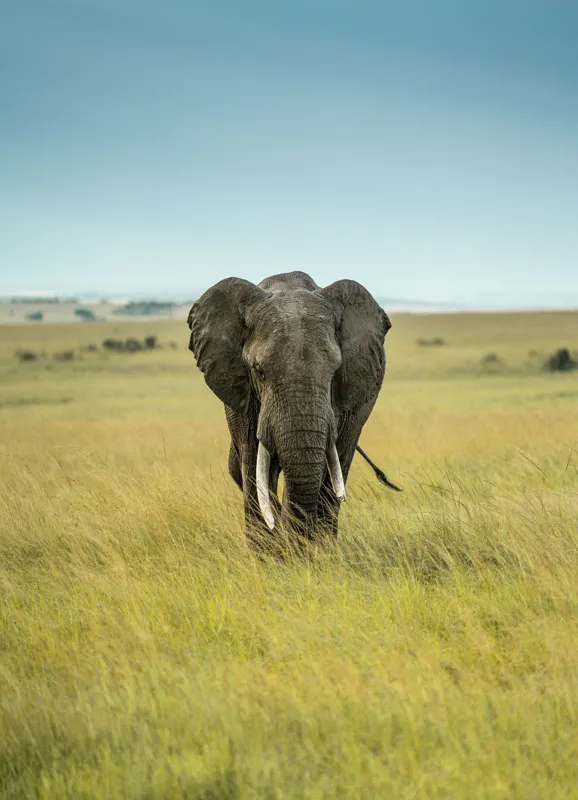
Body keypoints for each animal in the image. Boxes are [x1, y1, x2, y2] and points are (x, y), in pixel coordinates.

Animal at [187, 271, 400, 543]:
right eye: (259, 371)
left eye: (335, 372)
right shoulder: (243, 398)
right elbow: (253, 467)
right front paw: (272, 546)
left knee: (337, 469)